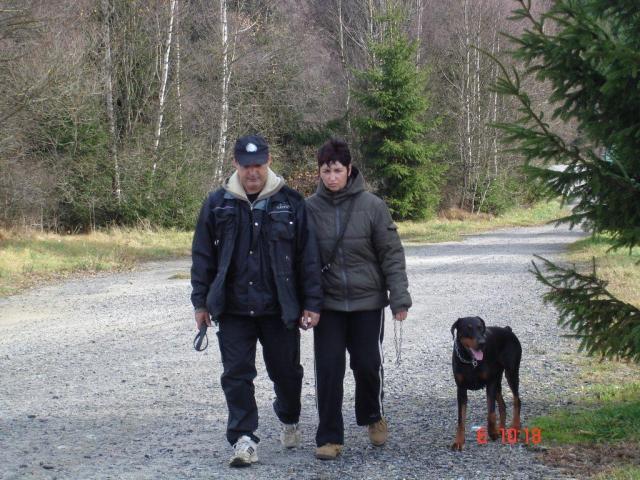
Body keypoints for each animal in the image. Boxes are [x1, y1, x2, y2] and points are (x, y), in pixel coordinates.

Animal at [450, 316, 522, 451]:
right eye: (468, 328)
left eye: (480, 328)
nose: (482, 343)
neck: (471, 361)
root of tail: (507, 330)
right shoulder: (461, 389)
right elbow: (460, 419)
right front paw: (459, 441)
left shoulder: (490, 383)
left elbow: (491, 412)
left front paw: (492, 432)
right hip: (498, 380)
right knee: (503, 405)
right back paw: (501, 429)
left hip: (511, 372)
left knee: (517, 400)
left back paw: (514, 427)